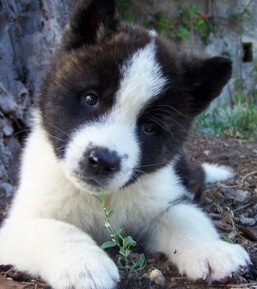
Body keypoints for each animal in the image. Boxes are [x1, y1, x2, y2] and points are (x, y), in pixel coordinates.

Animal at [0, 0, 249, 288]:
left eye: (149, 127)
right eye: (90, 98)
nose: (102, 161)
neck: (100, 198)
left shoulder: (164, 201)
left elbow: (187, 218)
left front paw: (213, 250)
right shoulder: (18, 222)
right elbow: (58, 229)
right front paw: (83, 265)